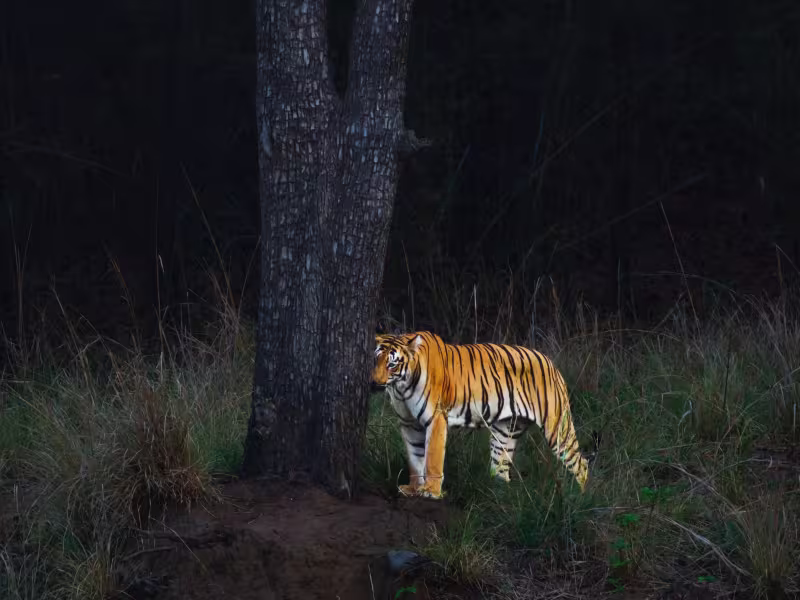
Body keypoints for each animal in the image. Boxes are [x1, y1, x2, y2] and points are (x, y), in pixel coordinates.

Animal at [372, 330, 589, 500]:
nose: (374, 383)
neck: (401, 387)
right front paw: (414, 488)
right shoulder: (409, 423)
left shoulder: (435, 418)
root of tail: (551, 363)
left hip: (557, 428)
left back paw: (579, 499)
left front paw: (431, 491)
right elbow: (415, 457)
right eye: (376, 361)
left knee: (581, 463)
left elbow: (432, 457)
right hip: (505, 433)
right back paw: (498, 498)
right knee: (502, 470)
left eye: (392, 364)